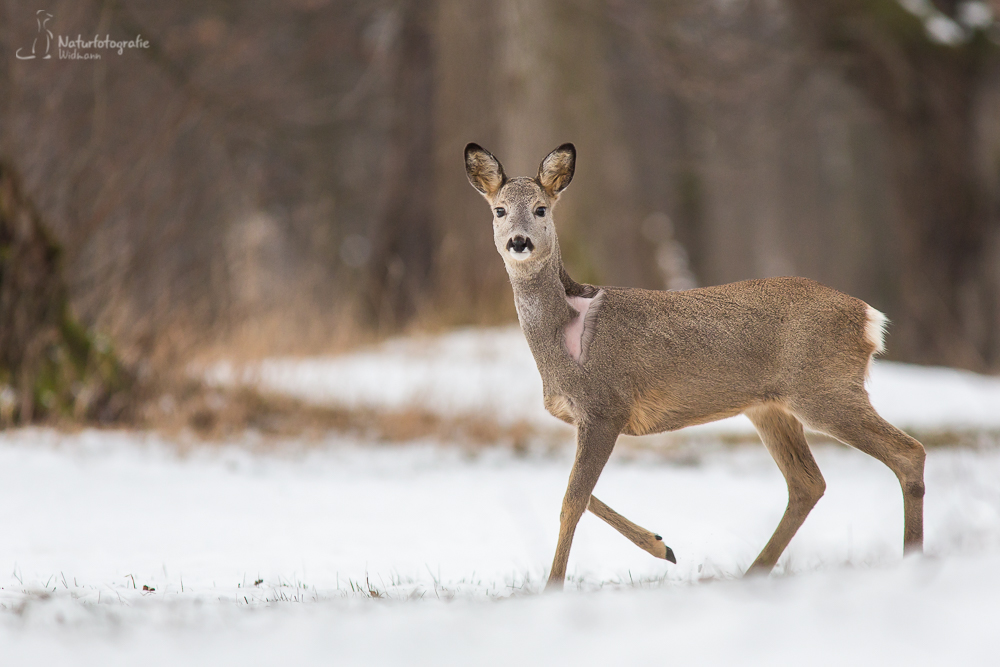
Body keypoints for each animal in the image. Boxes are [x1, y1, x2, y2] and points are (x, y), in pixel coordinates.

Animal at [464, 141, 924, 588]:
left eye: (541, 208)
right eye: (499, 210)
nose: (519, 241)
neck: (562, 339)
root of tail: (869, 318)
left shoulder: (605, 407)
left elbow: (572, 501)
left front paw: (553, 586)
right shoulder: (586, 418)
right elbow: (574, 490)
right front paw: (662, 545)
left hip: (823, 389)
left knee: (908, 452)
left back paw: (913, 559)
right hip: (770, 407)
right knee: (807, 483)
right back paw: (751, 574)